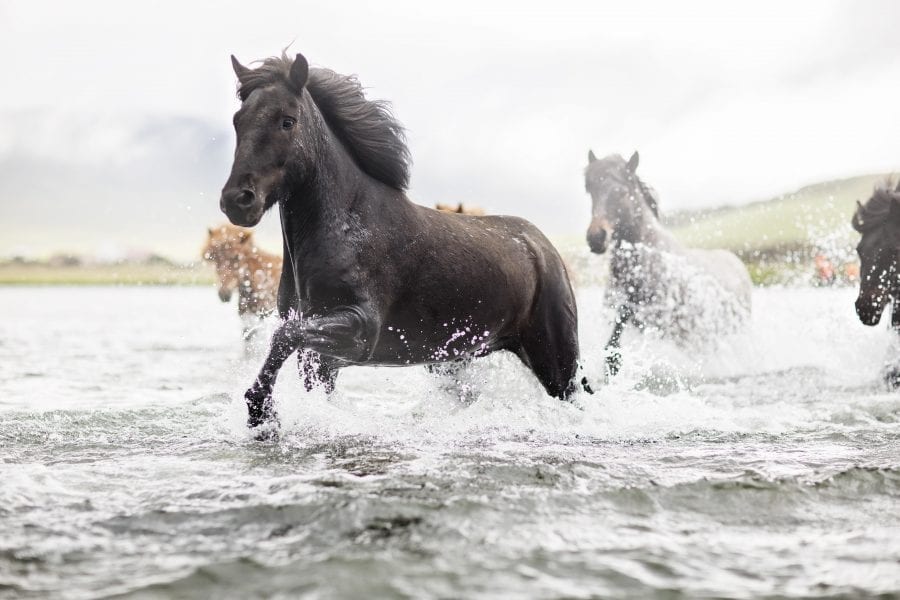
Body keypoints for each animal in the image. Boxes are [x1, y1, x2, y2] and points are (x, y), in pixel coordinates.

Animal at [223, 51, 592, 432]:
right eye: (238, 119)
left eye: (287, 121)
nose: (238, 200)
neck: (345, 226)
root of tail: (543, 246)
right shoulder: (320, 358)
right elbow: (288, 347)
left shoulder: (360, 329)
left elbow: (284, 336)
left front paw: (259, 408)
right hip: (455, 360)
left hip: (555, 358)